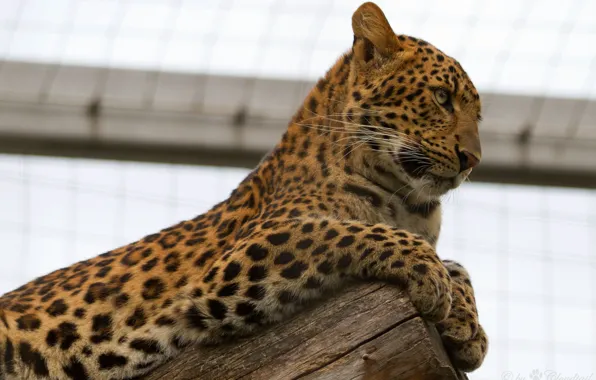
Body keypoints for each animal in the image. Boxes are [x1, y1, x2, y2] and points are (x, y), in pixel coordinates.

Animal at [0, 2, 486, 378]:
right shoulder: (242, 257)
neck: (407, 200)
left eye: (477, 116)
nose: (473, 159)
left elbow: (458, 264)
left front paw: (467, 324)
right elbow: (348, 231)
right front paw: (430, 277)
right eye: (442, 97)